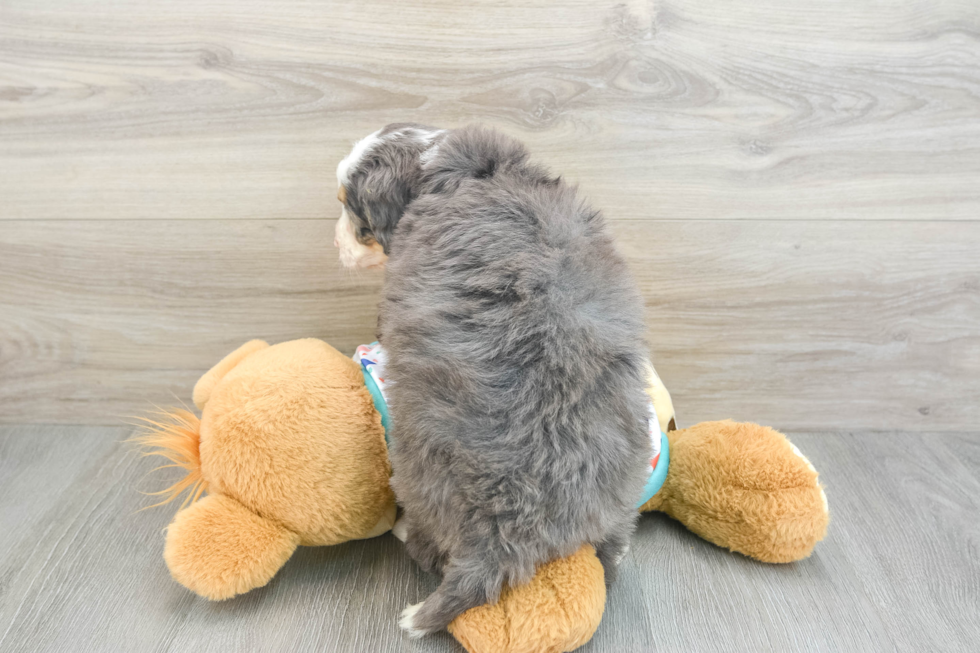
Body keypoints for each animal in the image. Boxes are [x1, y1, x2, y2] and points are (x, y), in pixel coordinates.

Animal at [334, 123, 652, 636]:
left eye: (350, 205)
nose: (336, 243)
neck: (446, 167)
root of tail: (507, 540)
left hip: (416, 473)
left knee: (429, 548)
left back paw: (410, 556)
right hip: (624, 486)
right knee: (613, 550)